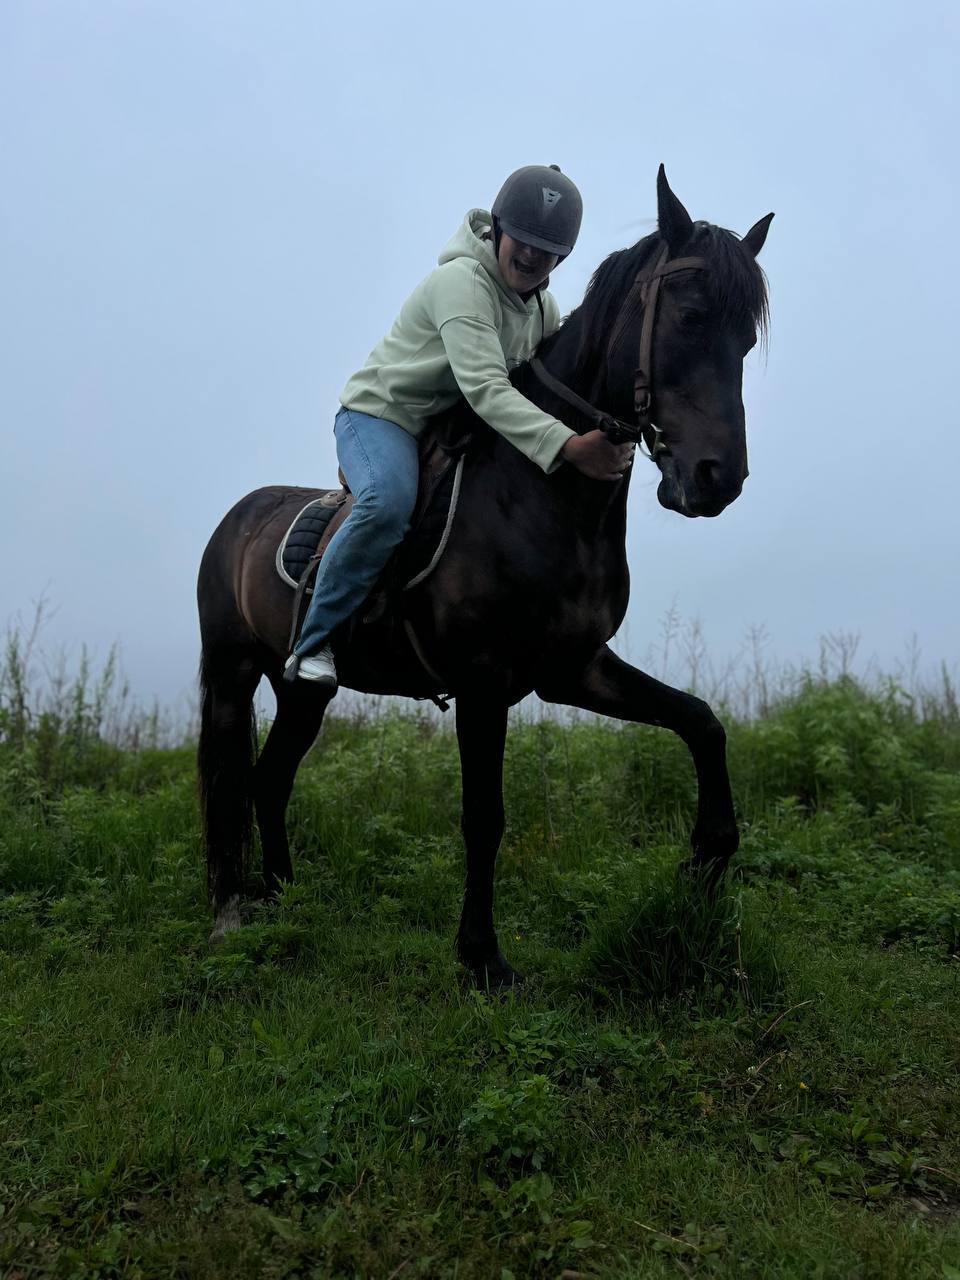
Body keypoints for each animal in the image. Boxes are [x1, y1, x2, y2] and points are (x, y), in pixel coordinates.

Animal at [195, 167, 773, 988]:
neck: (548, 495)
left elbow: (701, 721)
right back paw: (232, 911)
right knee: (231, 784)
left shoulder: (574, 669)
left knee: (269, 779)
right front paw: (482, 956)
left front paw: (705, 860)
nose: (718, 479)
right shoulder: (482, 681)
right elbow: (484, 815)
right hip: (232, 672)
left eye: (746, 339)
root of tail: (238, 519)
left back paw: (284, 896)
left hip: (301, 688)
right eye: (691, 318)